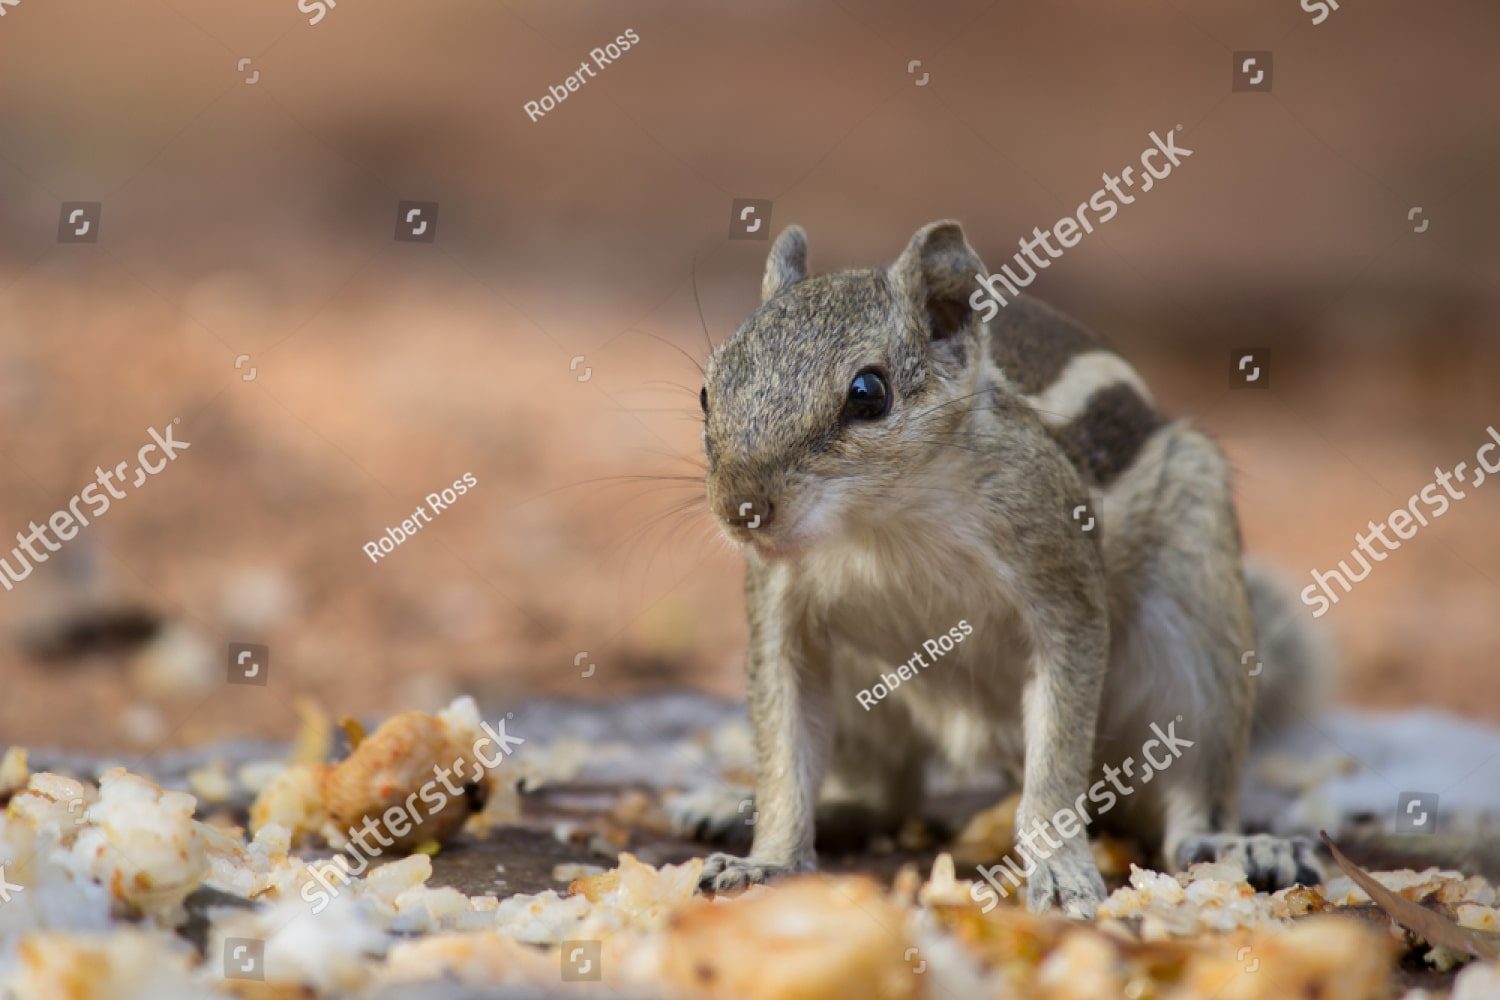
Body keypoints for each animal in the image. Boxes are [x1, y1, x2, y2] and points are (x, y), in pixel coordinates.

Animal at [676, 220, 1329, 915]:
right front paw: (768, 859)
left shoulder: (1062, 586)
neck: (883, 519)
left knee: (1191, 799)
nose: (740, 508)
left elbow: (1057, 756)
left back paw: (1242, 846)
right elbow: (783, 752)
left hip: (1196, 633)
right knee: (886, 797)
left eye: (868, 394)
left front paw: (1061, 872)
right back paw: (747, 807)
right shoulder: (783, 619)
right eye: (707, 391)